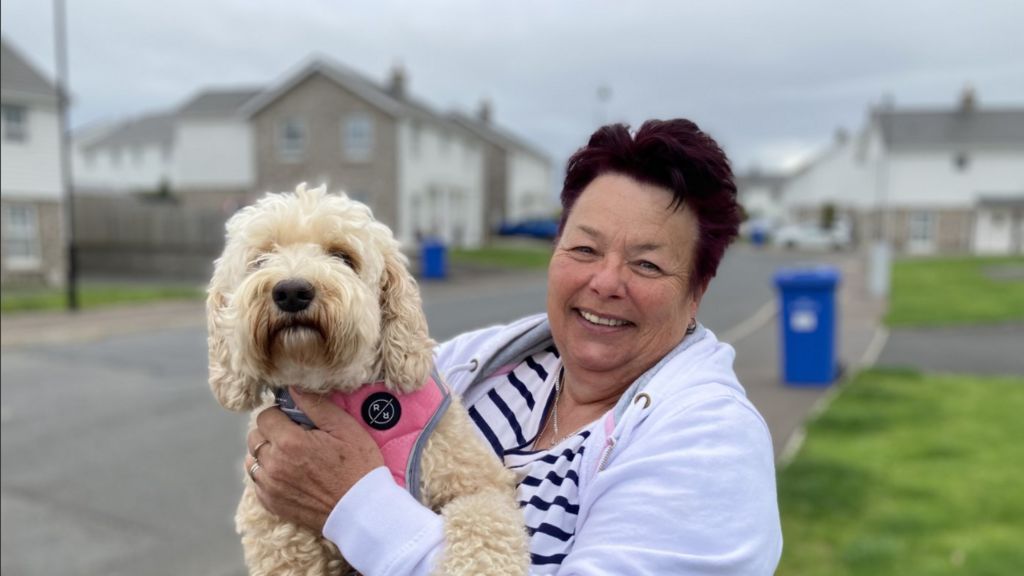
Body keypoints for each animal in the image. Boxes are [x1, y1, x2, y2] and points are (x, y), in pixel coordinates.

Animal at [206, 183, 528, 573]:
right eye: (261, 258)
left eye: (343, 257)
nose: (292, 291)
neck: (336, 386)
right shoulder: (281, 535)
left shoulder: (479, 480)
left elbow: (483, 520)